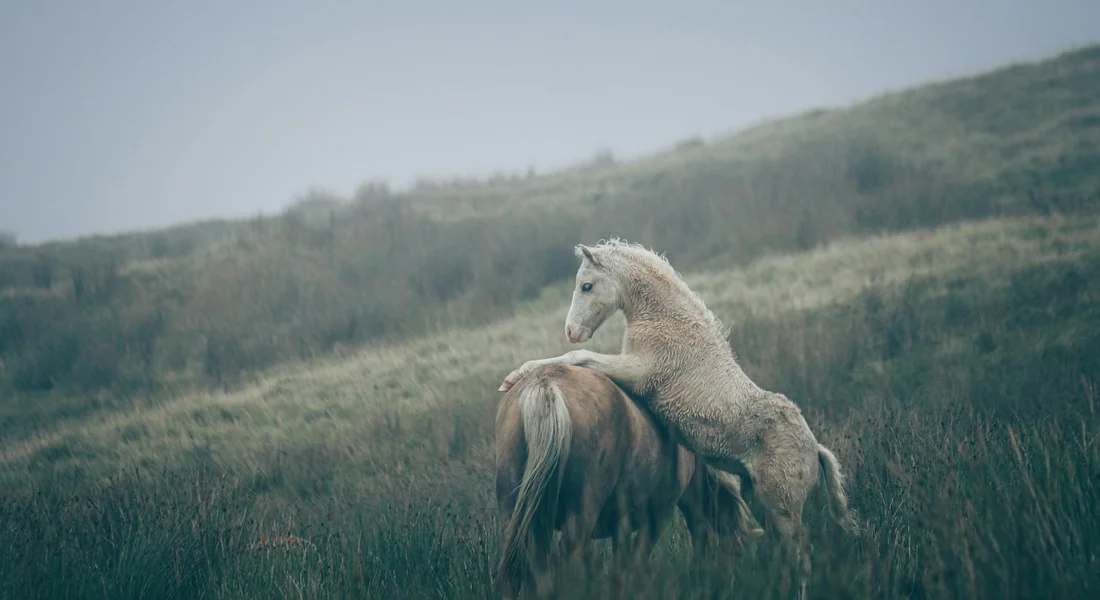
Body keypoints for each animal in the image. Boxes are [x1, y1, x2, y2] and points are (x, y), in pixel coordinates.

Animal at [494, 363, 758, 599]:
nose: (730, 579)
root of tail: (546, 385)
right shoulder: (655, 519)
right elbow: (632, 571)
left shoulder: (618, 527)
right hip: (580, 517)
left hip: (513, 515)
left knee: (519, 576)